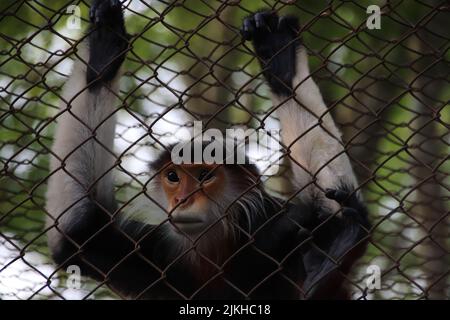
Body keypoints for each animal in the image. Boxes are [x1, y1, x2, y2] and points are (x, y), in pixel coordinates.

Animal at [44, 0, 370, 300]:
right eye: (173, 177)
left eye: (204, 176)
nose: (182, 199)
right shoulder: (156, 250)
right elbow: (78, 233)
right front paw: (103, 51)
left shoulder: (274, 228)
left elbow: (324, 211)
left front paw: (282, 60)